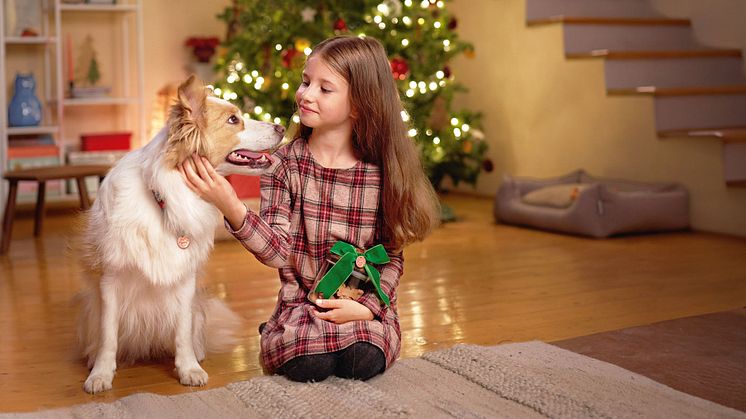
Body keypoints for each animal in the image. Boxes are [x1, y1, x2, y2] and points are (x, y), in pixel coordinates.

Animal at [77, 74, 284, 394]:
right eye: (233, 119)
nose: (282, 127)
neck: (165, 196)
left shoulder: (185, 279)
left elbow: (183, 331)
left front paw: (188, 368)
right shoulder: (111, 279)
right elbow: (108, 334)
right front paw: (100, 374)